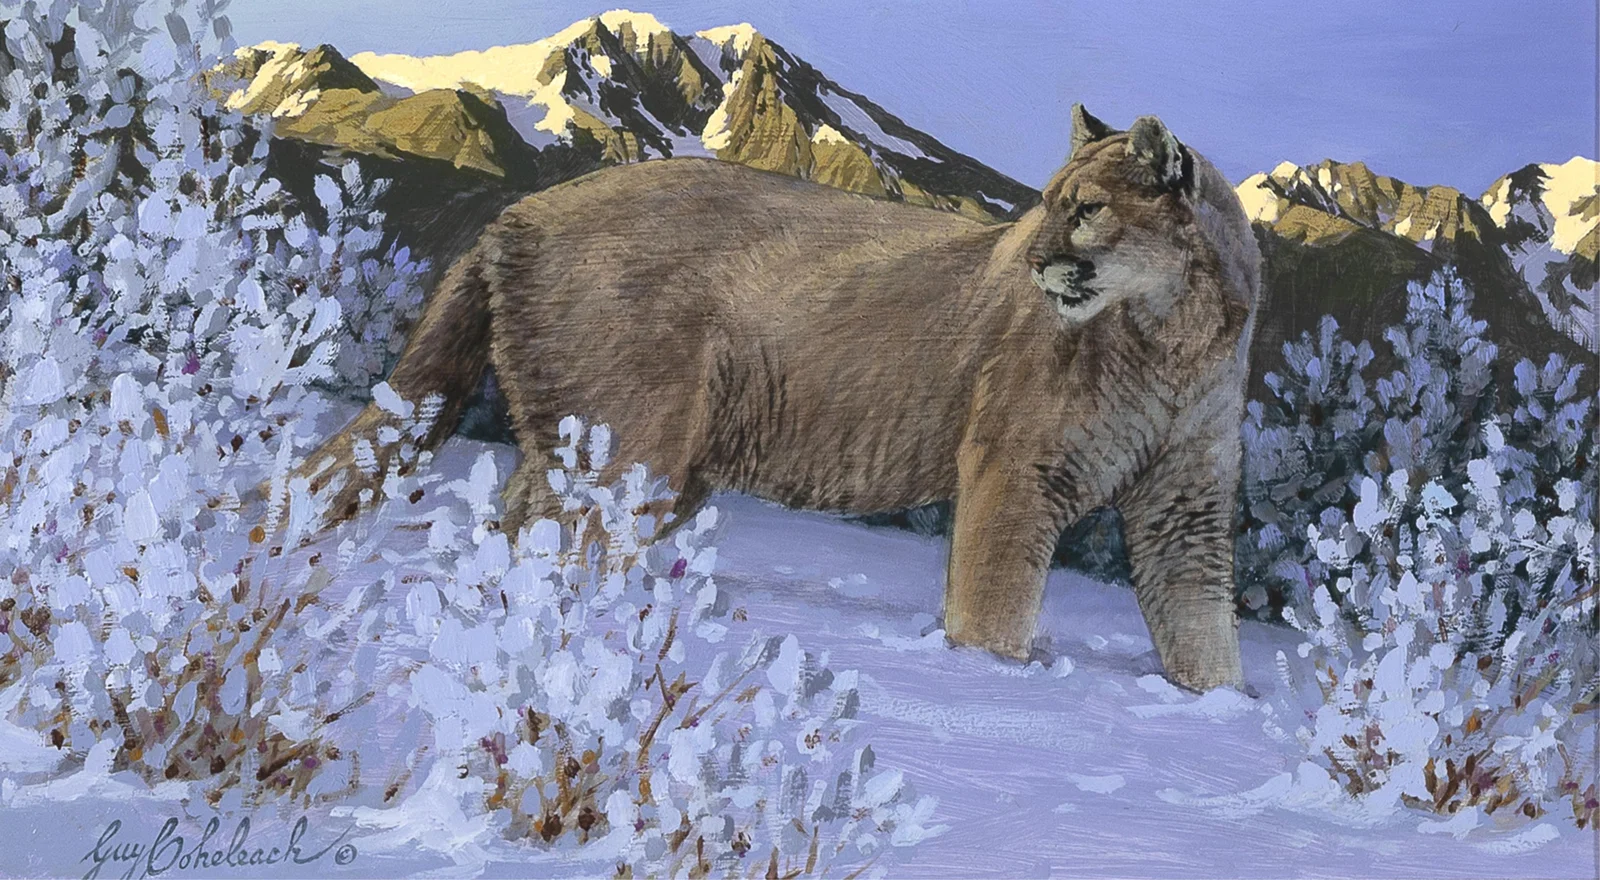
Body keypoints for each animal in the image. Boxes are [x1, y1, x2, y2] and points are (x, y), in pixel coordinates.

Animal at [288, 105, 1261, 692]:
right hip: (631, 439)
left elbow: (1202, 620)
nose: (1031, 260)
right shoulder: (1018, 470)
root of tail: (516, 213)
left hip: (661, 460)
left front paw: (1215, 705)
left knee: (526, 517)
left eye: (1087, 208)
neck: (1173, 342)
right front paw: (989, 681)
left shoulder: (1186, 502)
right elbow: (994, 599)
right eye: (1048, 204)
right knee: (558, 526)